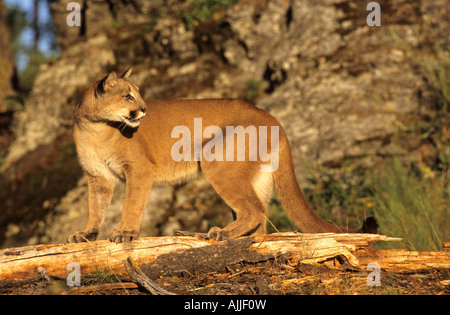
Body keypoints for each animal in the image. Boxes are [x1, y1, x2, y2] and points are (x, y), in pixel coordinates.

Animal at [67, 67, 376, 244]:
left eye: (138, 94)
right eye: (128, 95)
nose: (144, 109)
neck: (95, 128)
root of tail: (271, 117)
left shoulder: (139, 170)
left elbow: (131, 204)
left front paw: (125, 233)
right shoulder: (97, 177)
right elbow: (96, 207)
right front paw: (86, 234)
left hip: (216, 162)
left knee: (255, 210)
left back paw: (222, 234)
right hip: (256, 177)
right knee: (260, 214)